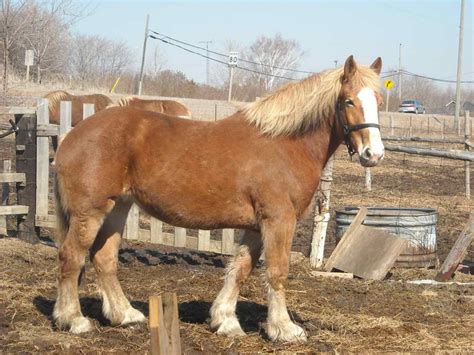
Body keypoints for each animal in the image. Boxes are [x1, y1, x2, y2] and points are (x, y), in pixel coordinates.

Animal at [51, 56, 386, 344]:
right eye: (348, 101)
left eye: (379, 102)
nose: (373, 154)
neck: (285, 144)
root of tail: (72, 135)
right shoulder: (279, 220)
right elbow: (277, 271)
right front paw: (285, 329)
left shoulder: (256, 226)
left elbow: (240, 269)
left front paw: (225, 320)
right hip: (90, 211)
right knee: (71, 257)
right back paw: (74, 320)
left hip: (118, 207)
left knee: (104, 258)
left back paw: (125, 315)